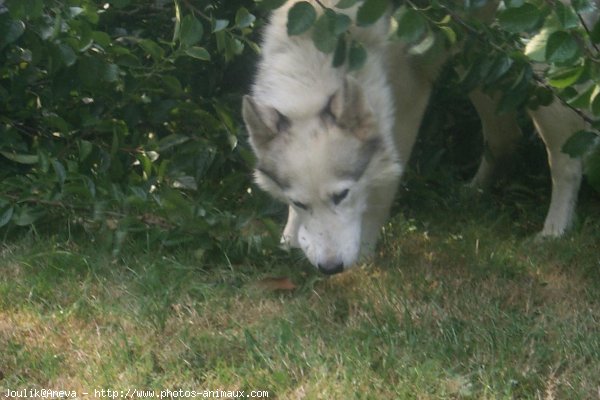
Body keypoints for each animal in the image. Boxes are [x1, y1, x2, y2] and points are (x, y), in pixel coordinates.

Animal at [243, 0, 584, 274]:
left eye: (343, 195)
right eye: (299, 202)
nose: (330, 269)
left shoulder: (404, 107)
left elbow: (382, 190)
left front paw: (365, 255)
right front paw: (290, 238)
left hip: (539, 76)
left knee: (566, 161)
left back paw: (554, 231)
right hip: (477, 63)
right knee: (505, 136)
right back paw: (471, 191)